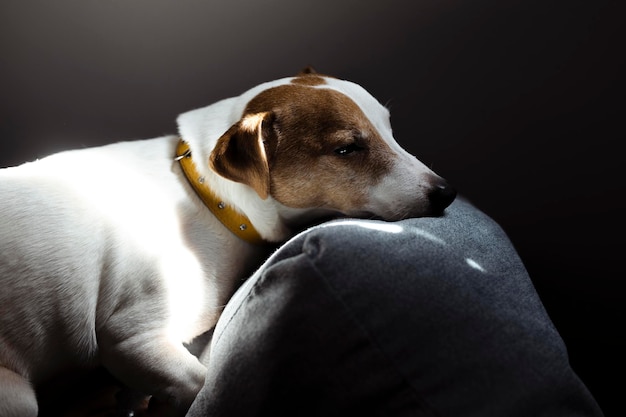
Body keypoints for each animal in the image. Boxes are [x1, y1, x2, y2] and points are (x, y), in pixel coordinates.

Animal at [1, 66, 454, 414]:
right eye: (347, 149)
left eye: (390, 132)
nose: (446, 193)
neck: (207, 196)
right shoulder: (131, 339)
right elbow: (197, 384)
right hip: (18, 396)